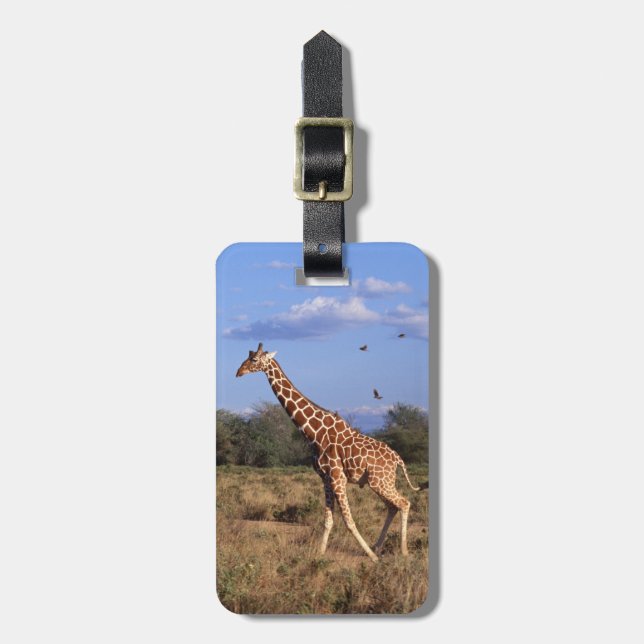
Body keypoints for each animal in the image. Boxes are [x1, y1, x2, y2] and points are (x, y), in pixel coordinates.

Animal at [235, 343, 428, 562]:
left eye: (254, 359)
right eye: (248, 356)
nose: (238, 372)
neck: (314, 433)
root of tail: (398, 459)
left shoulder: (337, 477)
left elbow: (349, 521)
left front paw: (371, 557)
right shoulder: (325, 478)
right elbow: (328, 520)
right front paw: (320, 554)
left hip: (380, 481)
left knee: (404, 503)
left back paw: (401, 551)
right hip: (380, 482)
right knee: (393, 506)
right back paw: (378, 546)